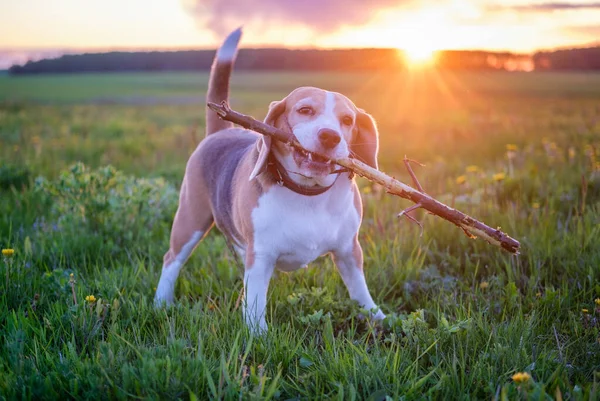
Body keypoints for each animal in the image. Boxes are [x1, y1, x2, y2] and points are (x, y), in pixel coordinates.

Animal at [155, 28, 386, 332]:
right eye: (305, 110)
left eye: (347, 120)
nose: (330, 136)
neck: (307, 192)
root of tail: (222, 130)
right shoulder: (261, 255)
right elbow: (255, 301)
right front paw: (257, 334)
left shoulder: (349, 250)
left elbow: (359, 288)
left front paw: (377, 317)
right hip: (190, 221)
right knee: (171, 260)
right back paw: (161, 303)